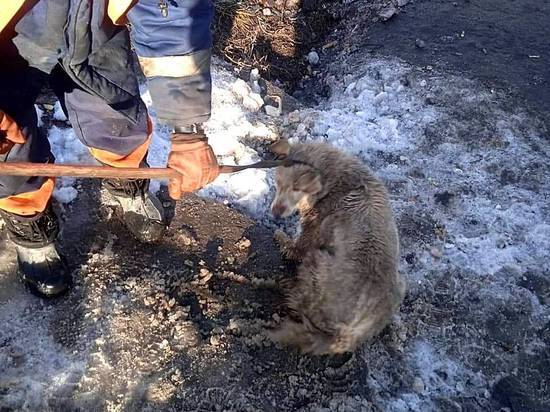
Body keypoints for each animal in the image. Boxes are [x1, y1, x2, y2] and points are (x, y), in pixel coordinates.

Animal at [270, 141, 408, 354]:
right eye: (278, 183)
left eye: (297, 188)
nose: (276, 213)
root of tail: (344, 336)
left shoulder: (312, 230)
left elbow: (296, 247)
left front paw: (282, 238)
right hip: (402, 283)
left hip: (316, 260)